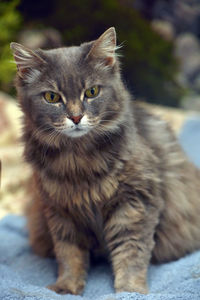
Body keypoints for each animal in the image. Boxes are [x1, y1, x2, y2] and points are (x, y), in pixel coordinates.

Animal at [10, 28, 200, 296]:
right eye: (52, 97)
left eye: (91, 92)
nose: (76, 117)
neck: (78, 161)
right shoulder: (60, 210)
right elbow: (69, 255)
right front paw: (66, 287)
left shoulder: (134, 203)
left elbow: (130, 253)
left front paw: (130, 291)